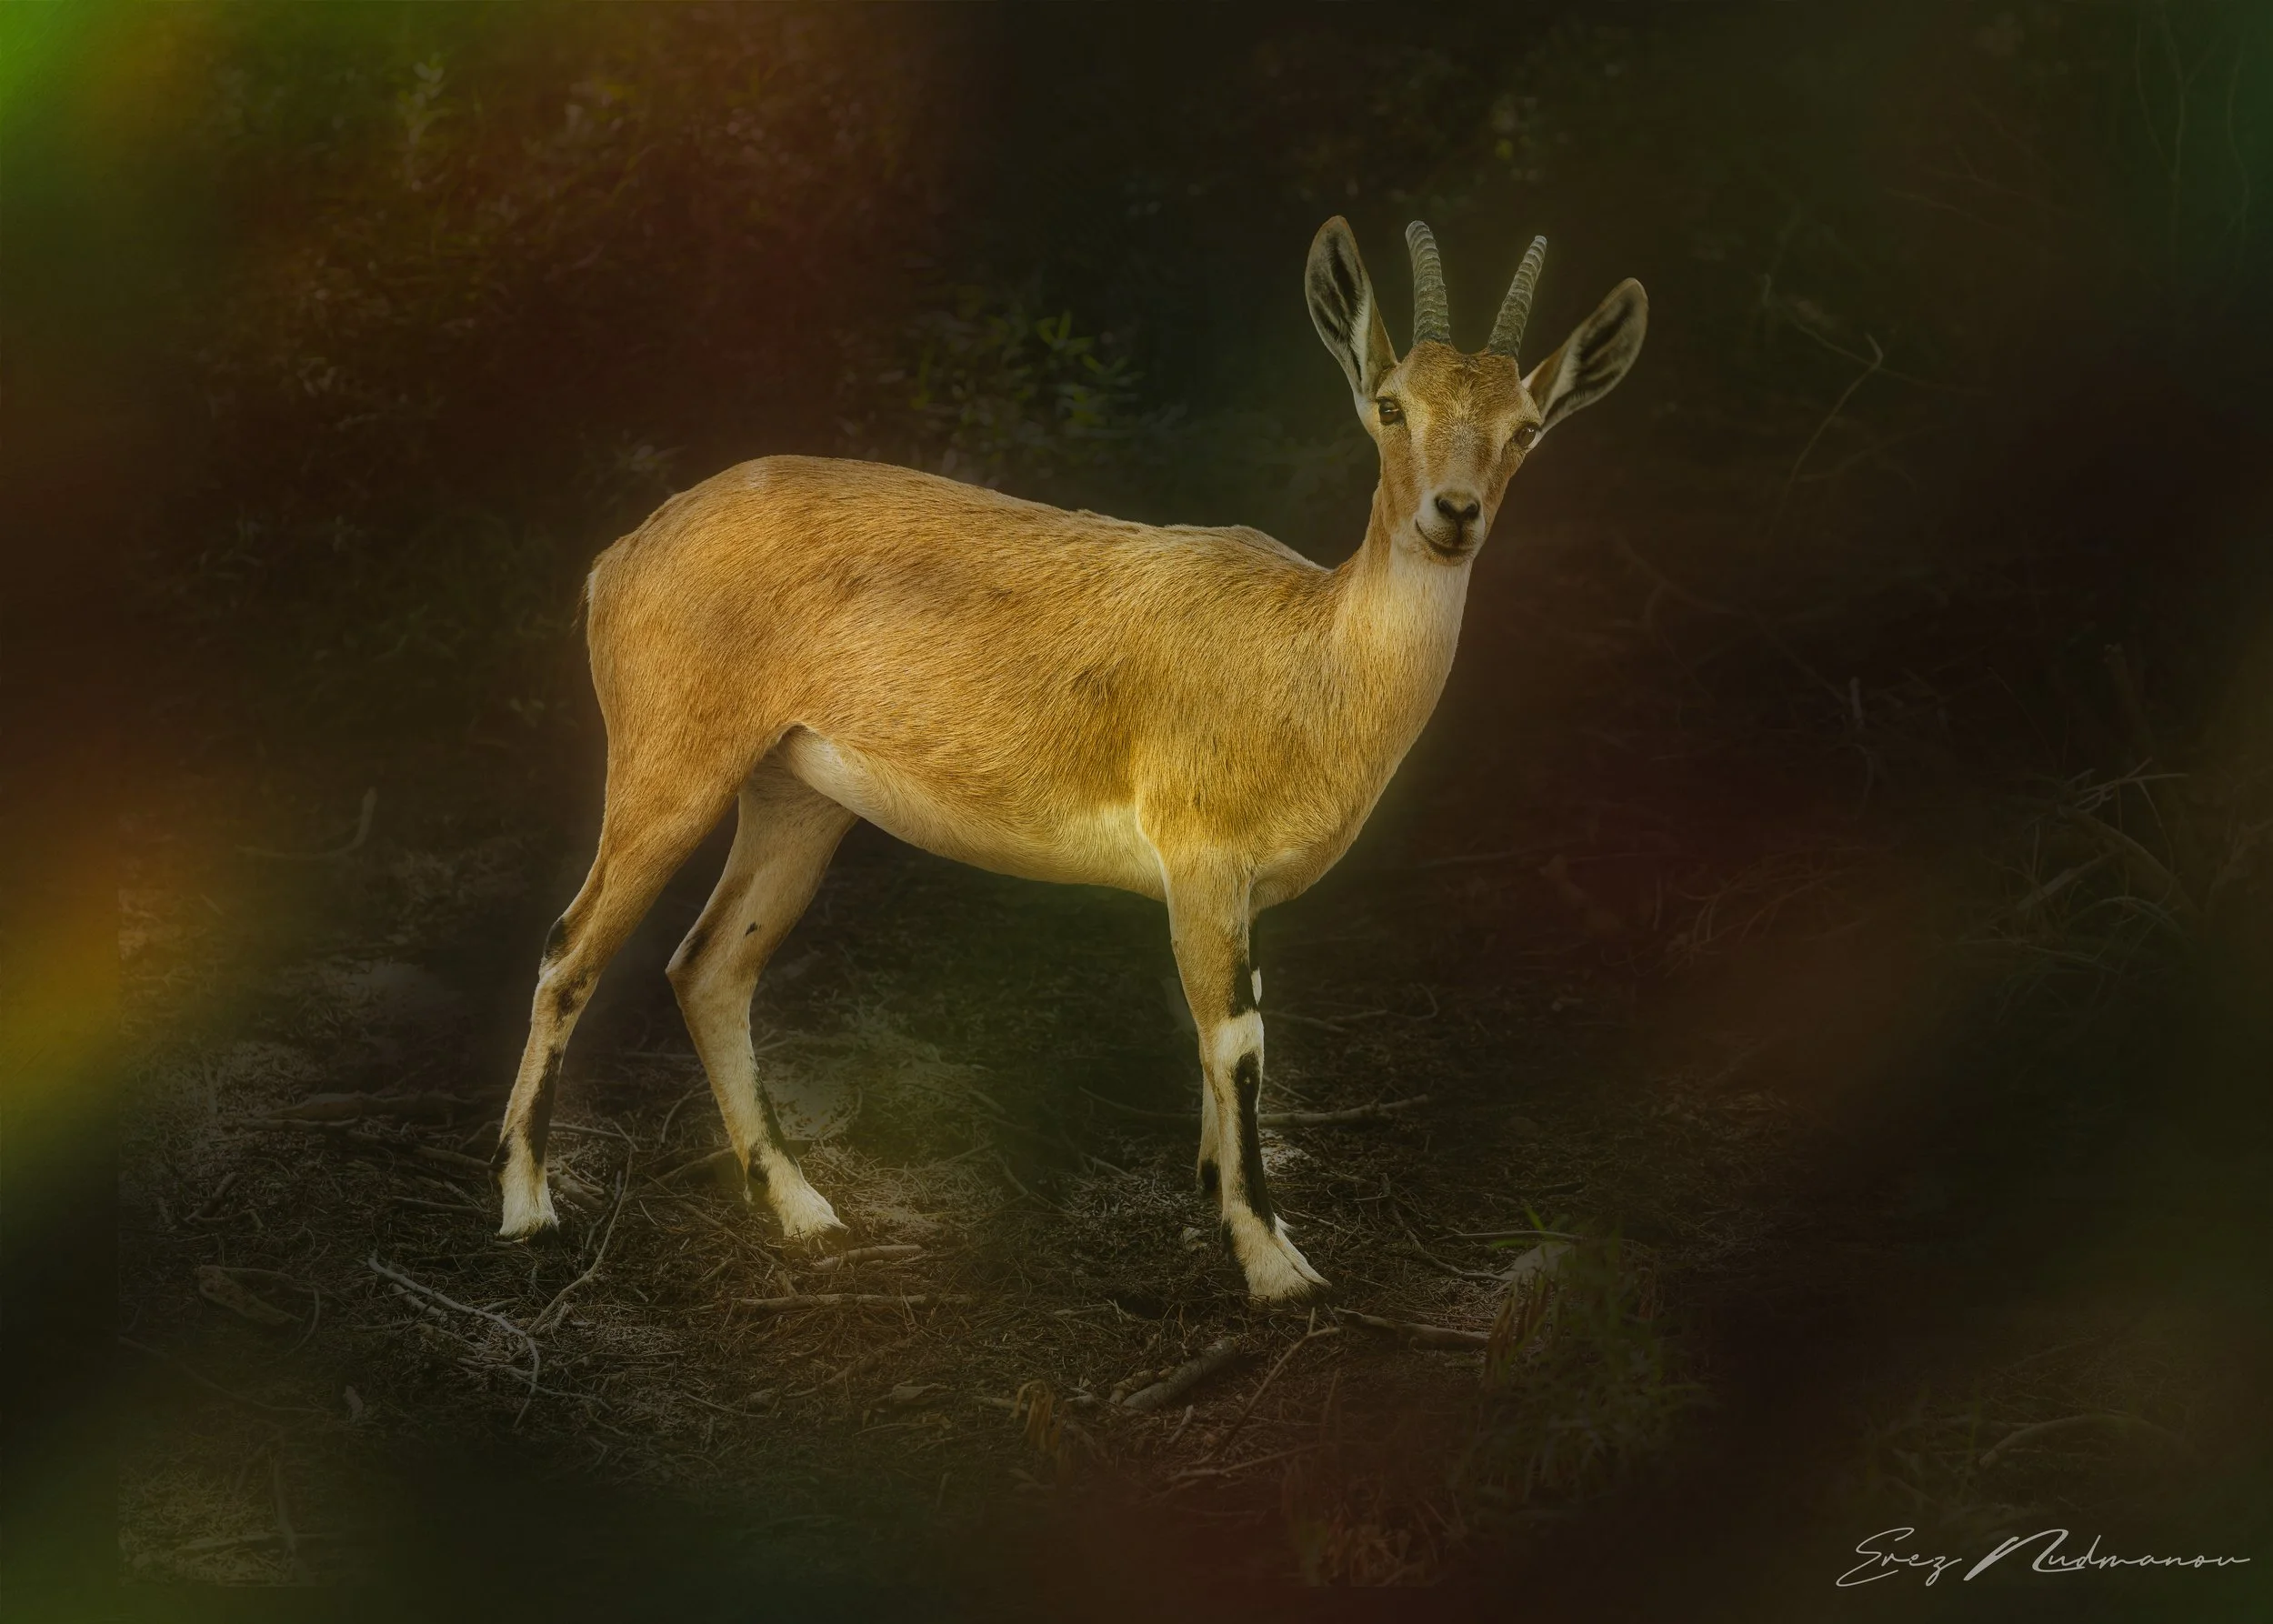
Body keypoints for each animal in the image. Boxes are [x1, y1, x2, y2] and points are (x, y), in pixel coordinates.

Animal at [495, 217, 1646, 1301]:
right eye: (1391, 403)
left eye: (1526, 427)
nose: (1453, 514)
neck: (1309, 659)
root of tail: (619, 559)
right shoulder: (1200, 858)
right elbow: (1238, 1044)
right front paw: (1276, 1265)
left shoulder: (1240, 895)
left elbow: (1228, 1036)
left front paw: (1213, 1198)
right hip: (670, 763)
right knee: (570, 948)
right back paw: (529, 1208)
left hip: (795, 796)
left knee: (709, 964)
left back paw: (805, 1210)